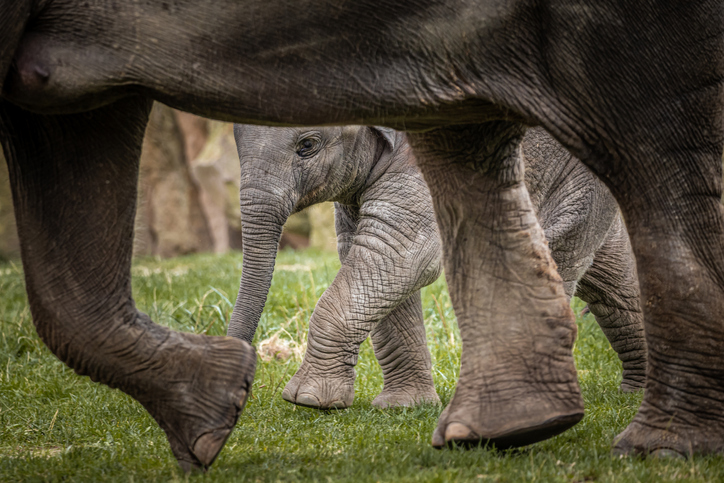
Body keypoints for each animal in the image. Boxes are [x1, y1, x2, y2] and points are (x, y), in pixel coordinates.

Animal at [229, 124, 646, 410]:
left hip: (577, 181)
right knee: (614, 289)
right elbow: (374, 260)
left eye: (307, 146)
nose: (237, 396)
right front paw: (404, 406)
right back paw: (637, 393)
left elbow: (399, 256)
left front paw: (308, 400)